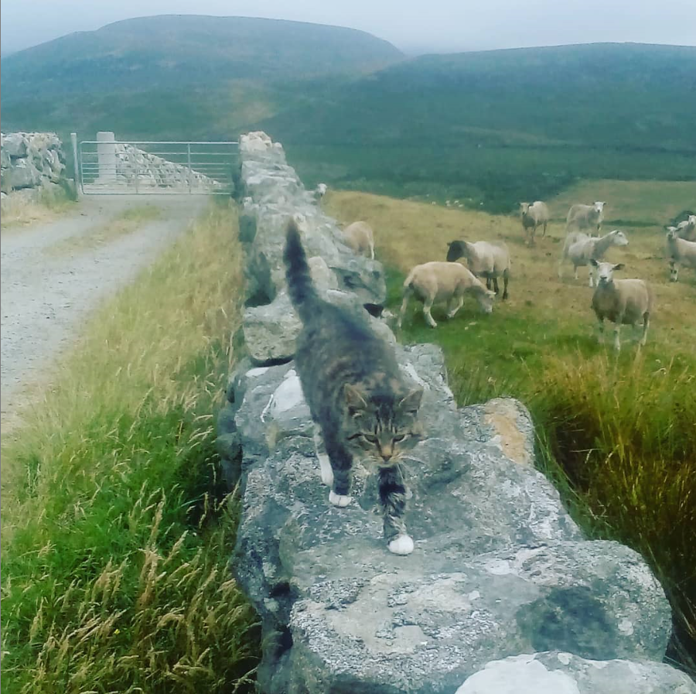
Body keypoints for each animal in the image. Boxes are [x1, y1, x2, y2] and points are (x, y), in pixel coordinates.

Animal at [284, 220, 424, 556]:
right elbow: (340, 460)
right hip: (314, 398)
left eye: (398, 436)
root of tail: (322, 306)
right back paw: (327, 473)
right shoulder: (336, 427)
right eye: (370, 436)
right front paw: (341, 490)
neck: (376, 380)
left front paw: (397, 535)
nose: (383, 455)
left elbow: (393, 489)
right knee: (316, 435)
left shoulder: (395, 458)